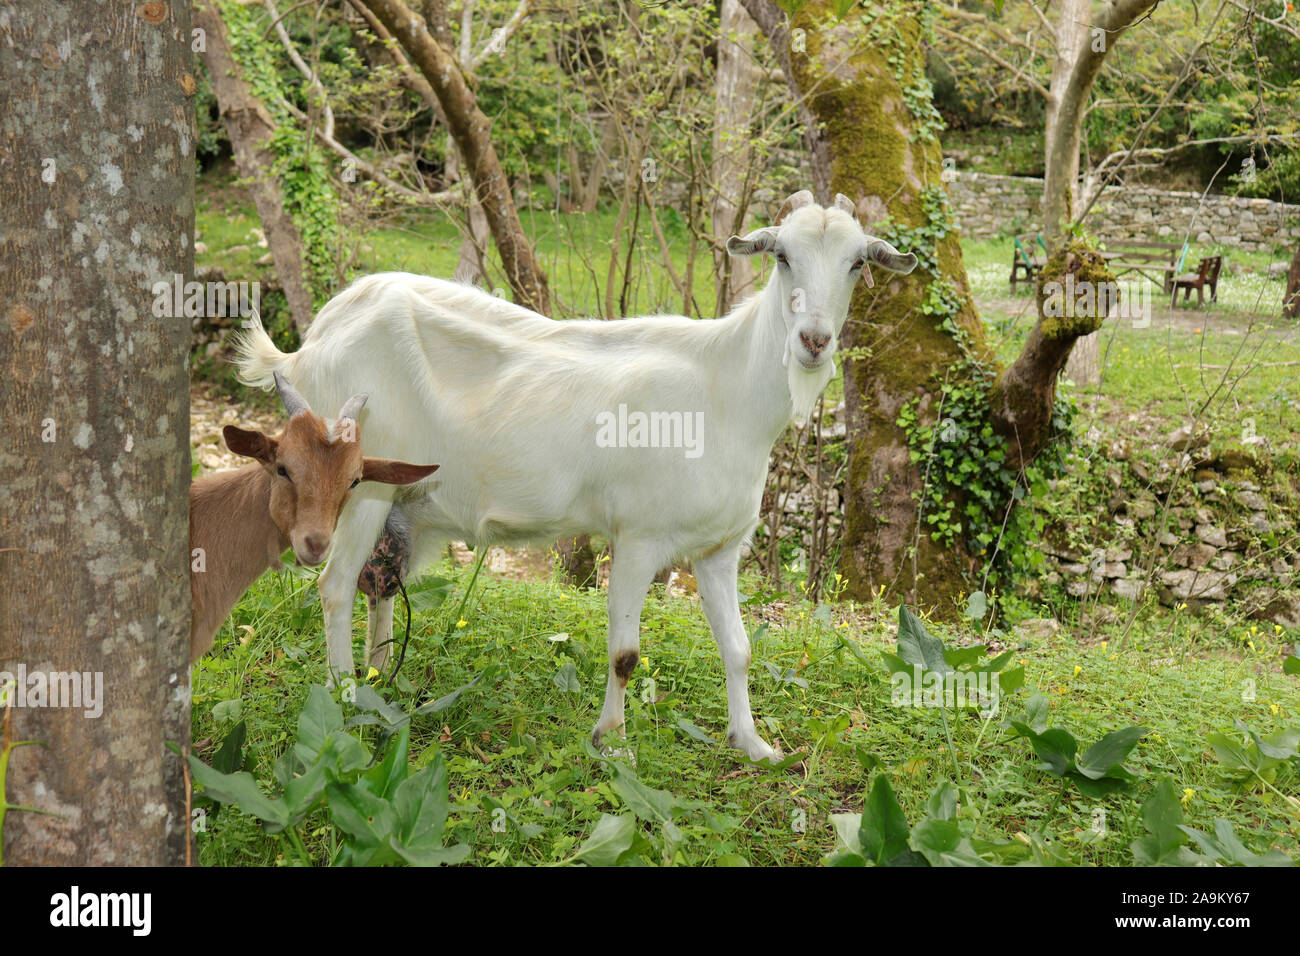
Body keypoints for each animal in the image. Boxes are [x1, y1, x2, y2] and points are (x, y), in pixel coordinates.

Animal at [239, 191, 920, 764]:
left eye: (856, 265)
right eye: (782, 257)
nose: (814, 340)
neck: (725, 391)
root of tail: (312, 341)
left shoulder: (719, 550)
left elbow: (739, 648)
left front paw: (752, 745)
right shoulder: (640, 537)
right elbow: (625, 654)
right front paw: (611, 742)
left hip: (402, 500)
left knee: (377, 586)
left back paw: (380, 685)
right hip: (350, 490)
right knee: (334, 586)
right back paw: (342, 700)